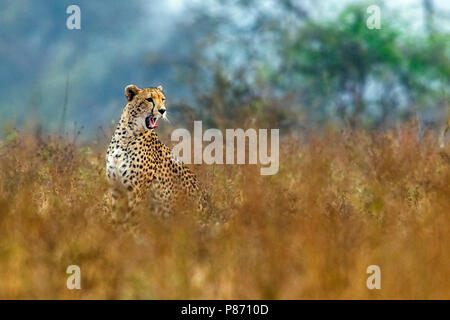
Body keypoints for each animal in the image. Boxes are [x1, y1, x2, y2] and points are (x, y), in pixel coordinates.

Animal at [106, 84, 208, 221]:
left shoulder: (137, 192)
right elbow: (115, 219)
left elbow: (131, 219)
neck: (125, 136)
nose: (163, 110)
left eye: (163, 99)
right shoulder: (116, 190)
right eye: (149, 99)